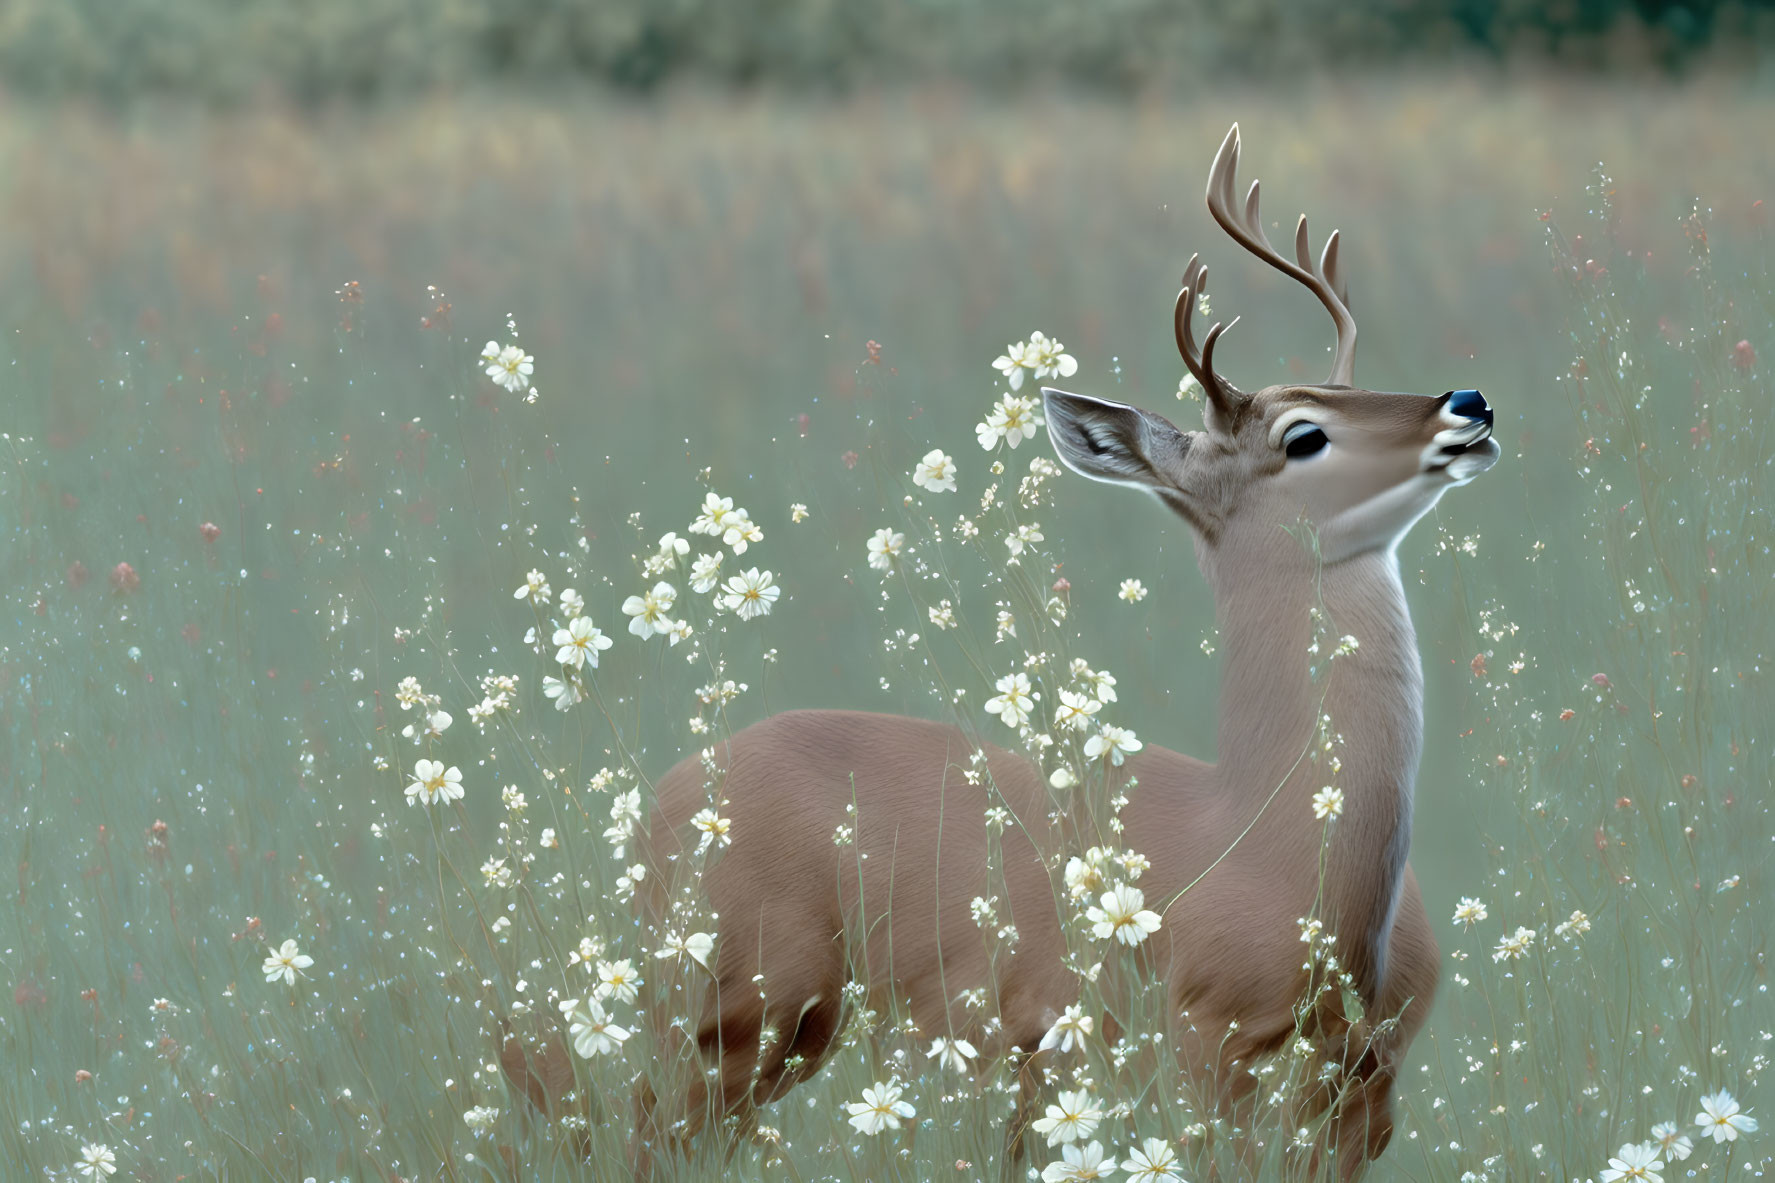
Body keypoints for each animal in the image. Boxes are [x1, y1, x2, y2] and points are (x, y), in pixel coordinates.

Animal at [628, 124, 1498, 1172]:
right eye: (1302, 434)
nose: (1469, 401)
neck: (1273, 850)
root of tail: (656, 803)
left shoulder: (1367, 1088)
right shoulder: (1181, 1050)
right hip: (736, 994)